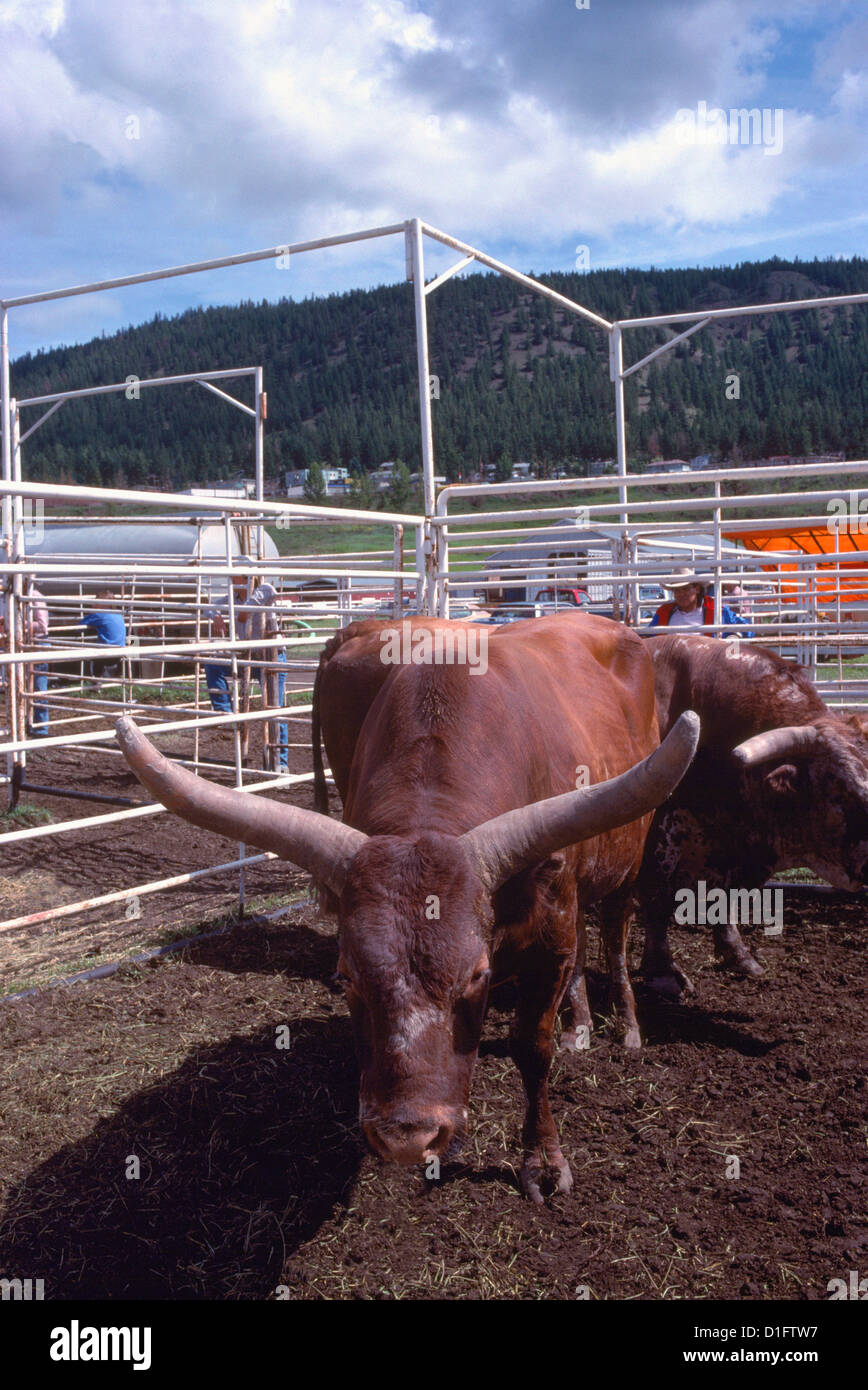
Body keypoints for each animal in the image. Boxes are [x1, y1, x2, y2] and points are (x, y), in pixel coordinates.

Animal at [115, 614, 698, 1200]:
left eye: (478, 976)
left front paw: (544, 1162)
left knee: (616, 935)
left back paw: (626, 1024)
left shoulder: (550, 931)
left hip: (626, 863)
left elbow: (533, 1048)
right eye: (346, 976)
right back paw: (579, 1022)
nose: (408, 1138)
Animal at [637, 631, 868, 1000]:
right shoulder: (658, 832)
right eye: (844, 794)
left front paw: (738, 955)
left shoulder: (739, 846)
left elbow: (727, 898)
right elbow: (656, 894)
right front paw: (662, 972)